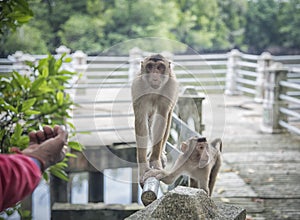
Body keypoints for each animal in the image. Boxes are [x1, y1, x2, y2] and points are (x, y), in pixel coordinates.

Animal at [131, 53, 178, 186]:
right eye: (150, 67)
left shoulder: (170, 88)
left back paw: (160, 153)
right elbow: (141, 121)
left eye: (160, 67)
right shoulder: (138, 87)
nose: (155, 76)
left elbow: (161, 119)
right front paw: (143, 167)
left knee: (167, 117)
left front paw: (155, 160)